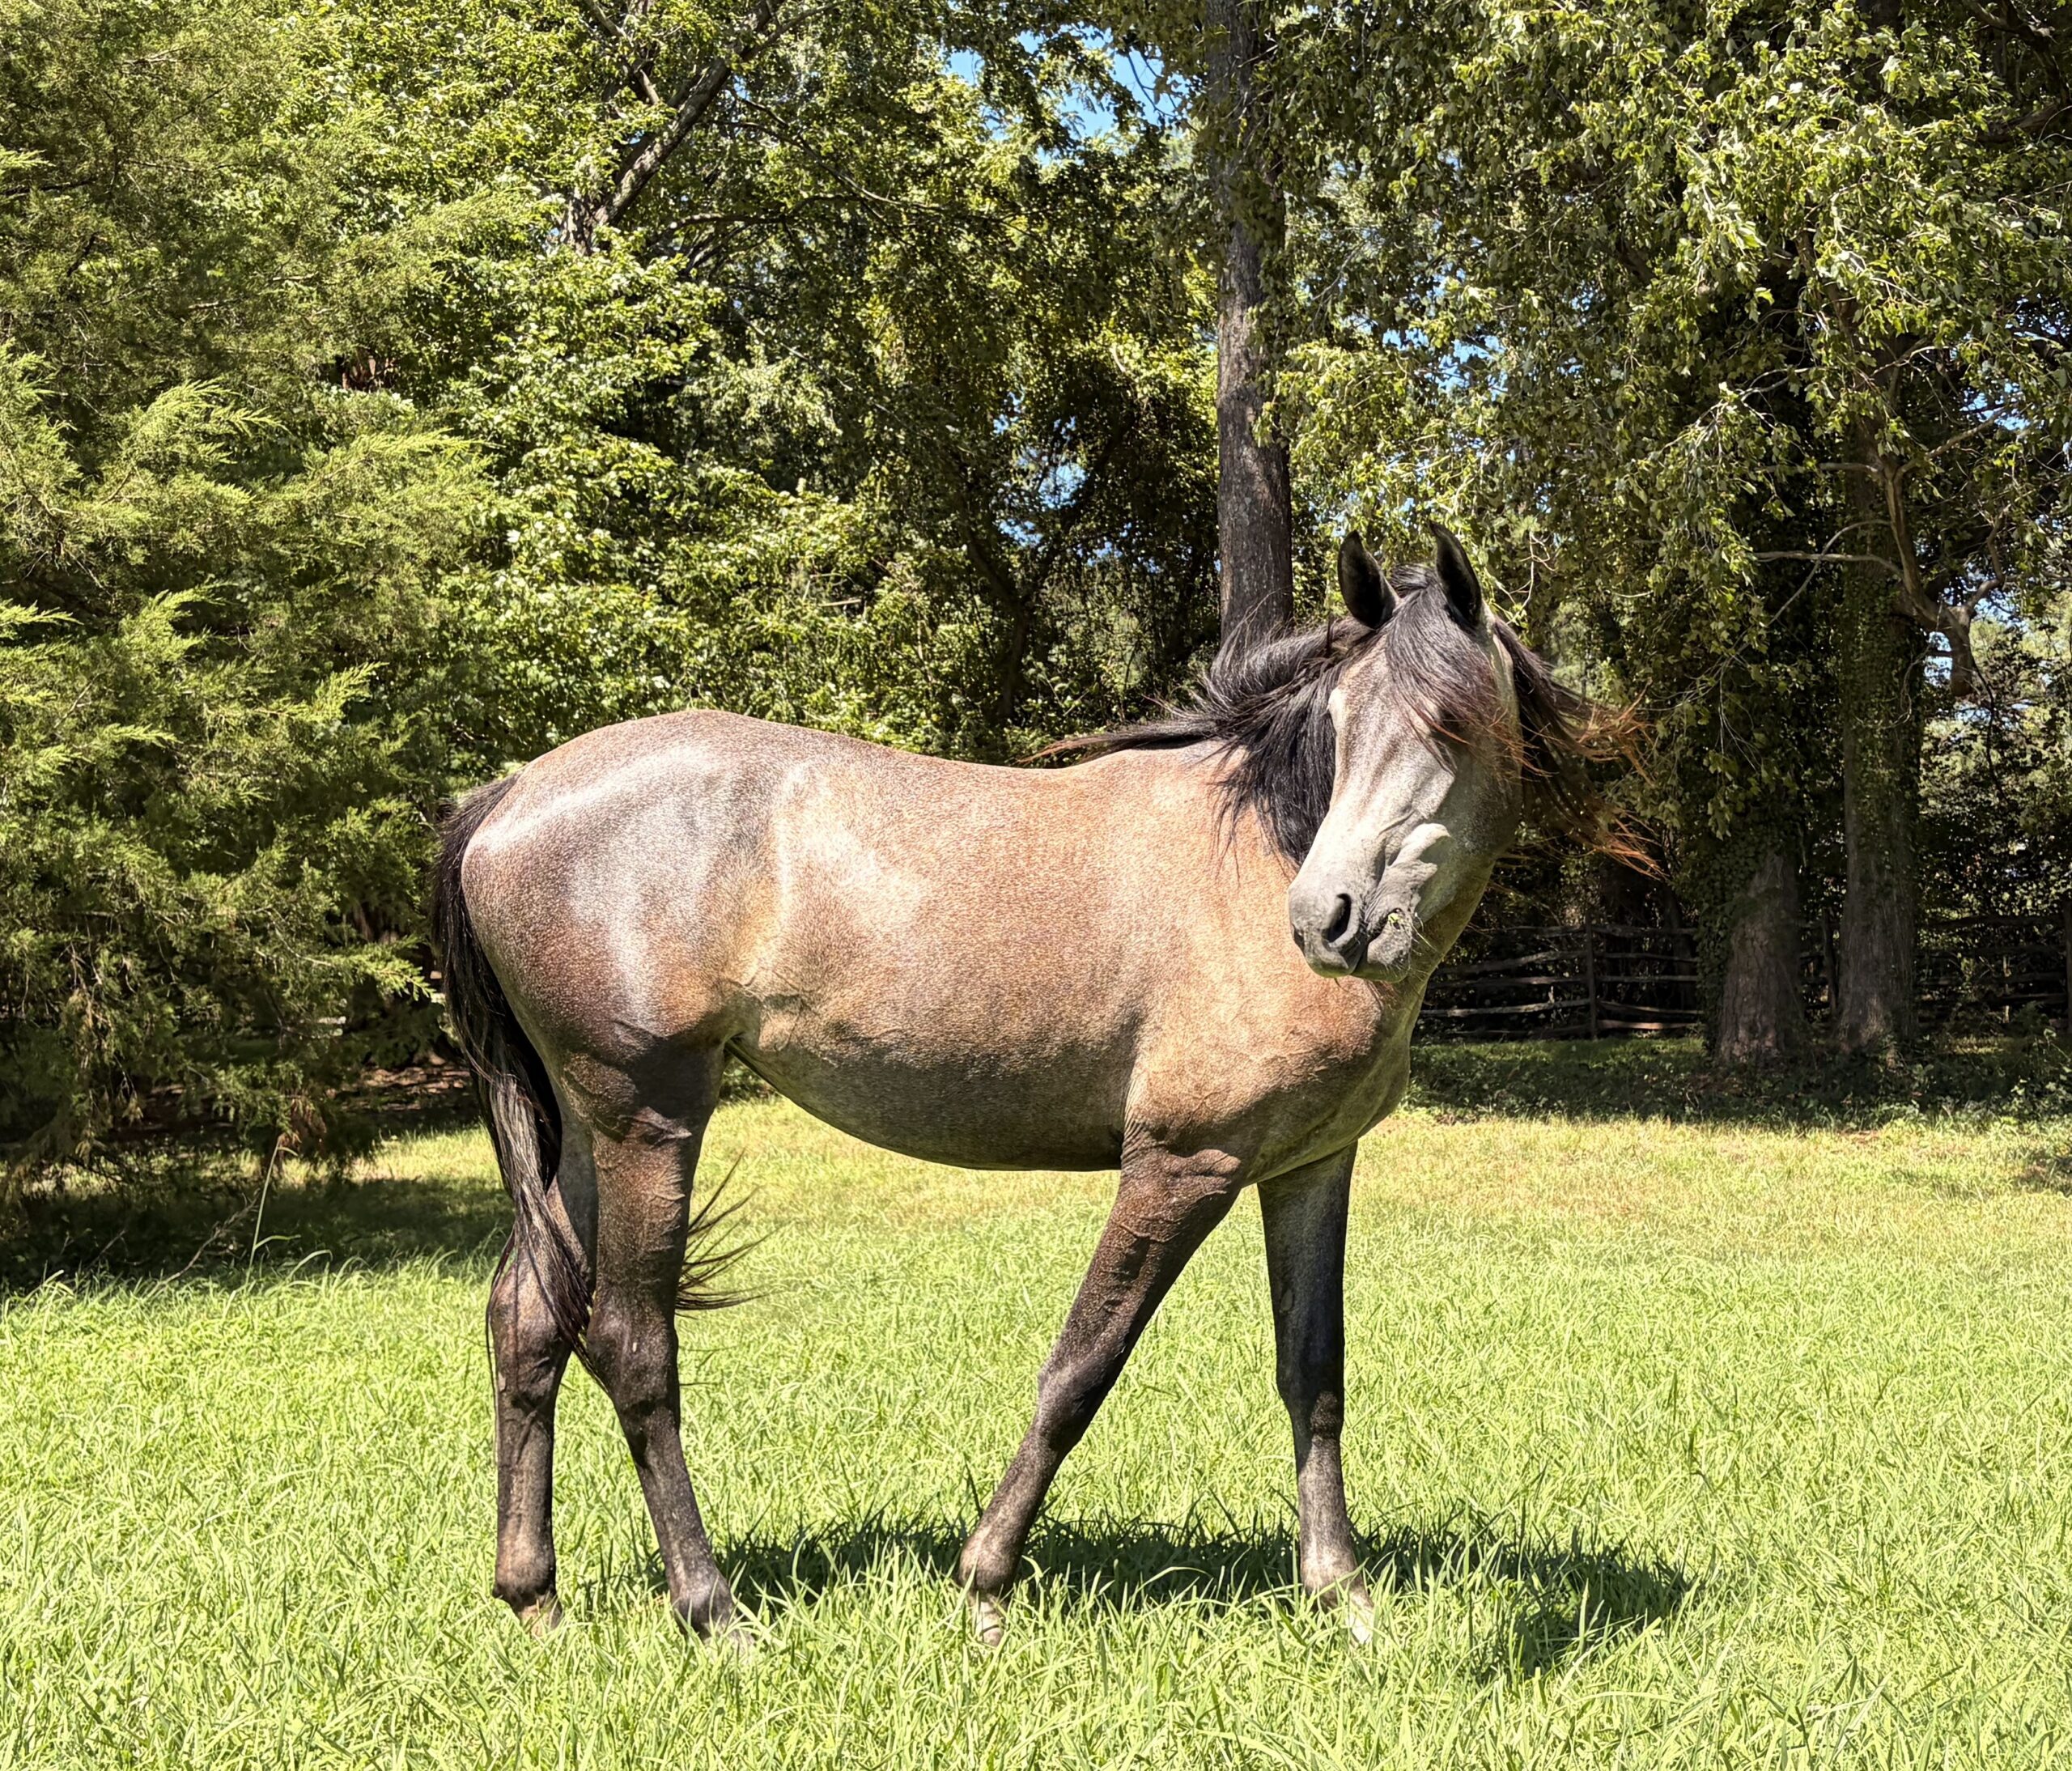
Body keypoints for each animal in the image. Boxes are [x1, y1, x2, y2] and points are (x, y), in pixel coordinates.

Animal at [431, 527, 1613, 1644]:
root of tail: (507, 795)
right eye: (1337, 720)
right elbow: (1080, 1369)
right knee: (634, 1346)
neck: (1257, 854)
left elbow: (1312, 1374)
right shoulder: (1183, 1167)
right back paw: (713, 1610)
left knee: (526, 1322)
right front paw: (985, 1585)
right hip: (651, 1120)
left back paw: (534, 1600)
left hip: (587, 1130)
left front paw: (1344, 1599)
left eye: (1451, 724)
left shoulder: (1311, 1166)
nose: (1329, 918)